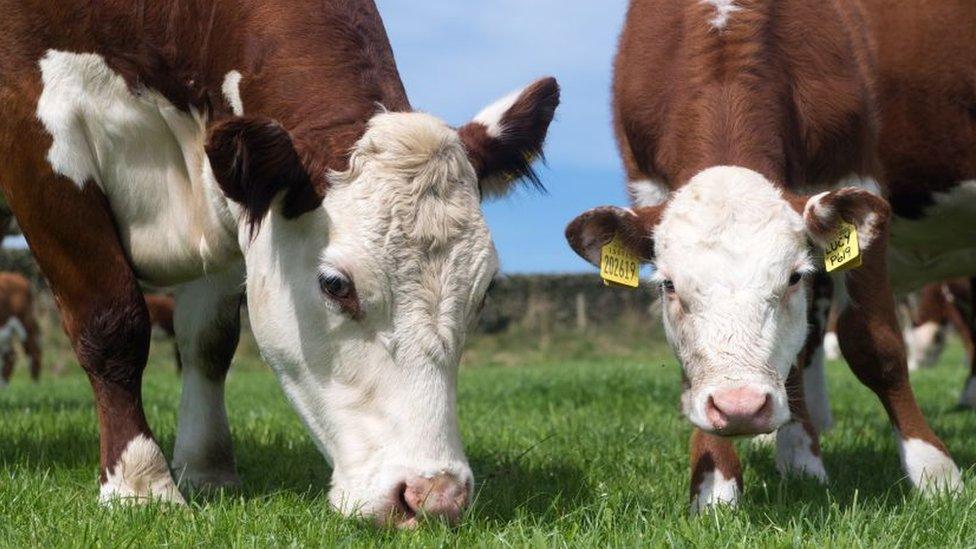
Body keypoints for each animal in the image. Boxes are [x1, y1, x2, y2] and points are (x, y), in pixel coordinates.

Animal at [0, 0, 560, 524]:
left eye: (484, 290)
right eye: (335, 285)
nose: (435, 496)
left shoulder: (231, 199)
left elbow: (209, 341)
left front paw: (206, 470)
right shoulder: (36, 139)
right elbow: (112, 323)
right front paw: (141, 483)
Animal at [568, 0, 972, 510]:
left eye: (793, 277)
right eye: (668, 285)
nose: (740, 407)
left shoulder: (856, 172)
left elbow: (874, 345)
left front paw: (933, 471)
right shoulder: (647, 184)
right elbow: (695, 368)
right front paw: (716, 481)